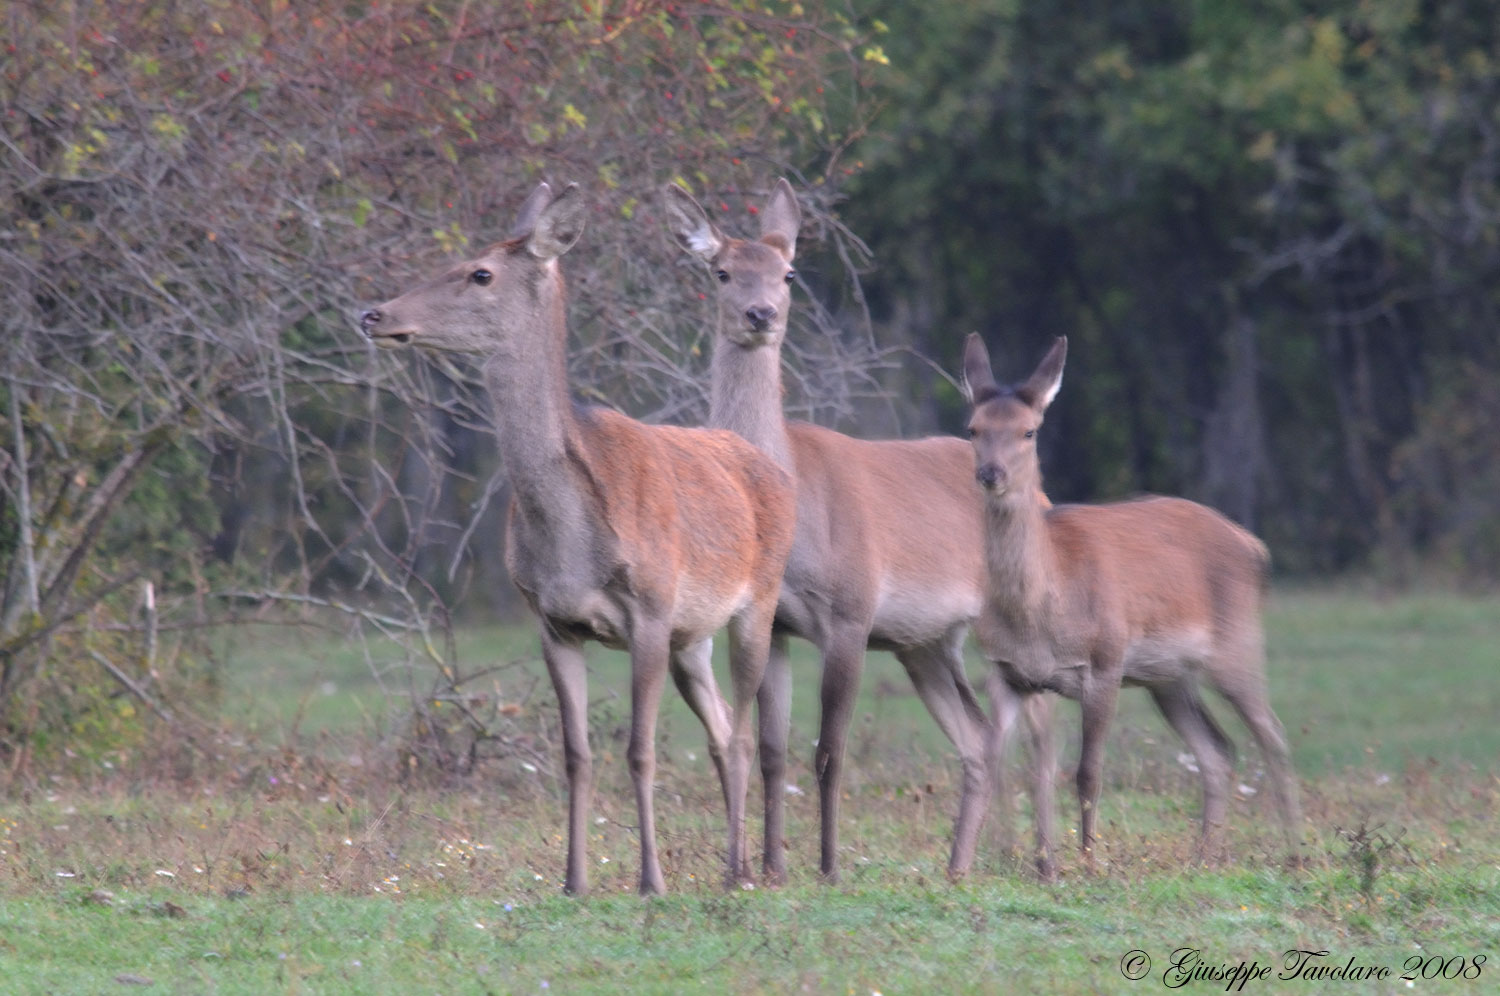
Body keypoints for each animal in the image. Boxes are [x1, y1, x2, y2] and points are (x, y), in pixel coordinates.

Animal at [357, 183, 798, 900]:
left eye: (481, 273)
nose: (374, 313)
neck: (569, 540)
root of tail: (768, 463)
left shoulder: (650, 610)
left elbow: (640, 752)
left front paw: (651, 880)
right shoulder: (551, 621)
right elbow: (576, 754)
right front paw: (574, 879)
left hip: (756, 602)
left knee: (742, 733)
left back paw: (741, 872)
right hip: (692, 637)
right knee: (722, 727)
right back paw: (730, 865)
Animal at [663, 177, 1050, 882]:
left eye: (789, 271)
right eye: (721, 270)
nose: (761, 314)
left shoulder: (851, 611)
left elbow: (830, 750)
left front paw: (828, 867)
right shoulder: (776, 623)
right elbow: (773, 750)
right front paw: (772, 869)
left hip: (1017, 617)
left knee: (1039, 726)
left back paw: (1047, 859)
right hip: (927, 643)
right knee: (980, 736)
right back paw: (960, 866)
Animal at [960, 330, 1302, 876]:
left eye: (1029, 431)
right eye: (973, 428)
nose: (991, 473)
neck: (1040, 613)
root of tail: (1255, 547)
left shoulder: (1105, 659)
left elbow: (1087, 771)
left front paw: (1087, 862)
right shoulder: (1009, 672)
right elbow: (999, 762)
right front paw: (1000, 863)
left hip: (1237, 644)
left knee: (1272, 734)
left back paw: (1295, 852)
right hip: (1168, 678)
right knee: (1218, 749)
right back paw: (1203, 856)